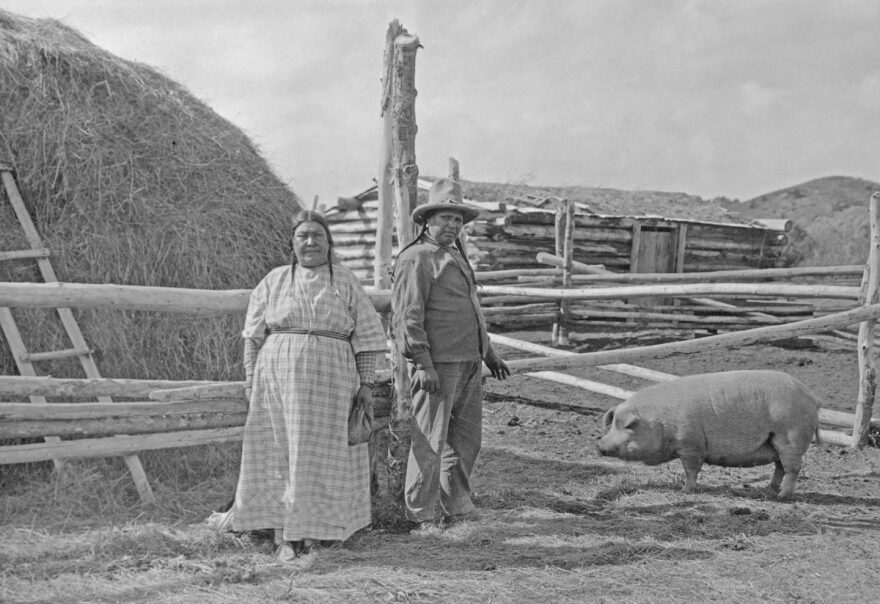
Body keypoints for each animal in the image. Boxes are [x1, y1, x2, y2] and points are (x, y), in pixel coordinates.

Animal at [596, 370, 820, 498]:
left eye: (626, 427)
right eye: (612, 424)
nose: (599, 444)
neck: (658, 421)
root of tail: (811, 396)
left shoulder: (690, 444)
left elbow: (691, 470)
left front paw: (685, 491)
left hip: (791, 437)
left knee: (793, 468)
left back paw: (782, 496)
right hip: (777, 442)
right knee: (780, 467)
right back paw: (768, 489)